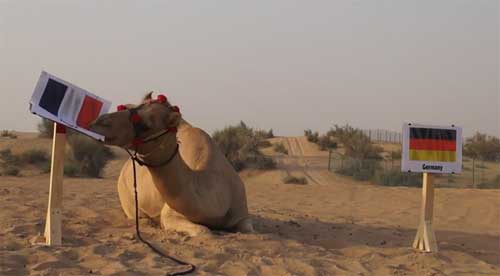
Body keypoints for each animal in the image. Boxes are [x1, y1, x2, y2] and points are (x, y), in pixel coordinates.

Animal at [88, 94, 254, 236]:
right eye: (125, 107)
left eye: (146, 125)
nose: (99, 121)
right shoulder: (170, 214)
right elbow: (203, 231)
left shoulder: (241, 213)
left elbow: (248, 229)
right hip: (125, 196)